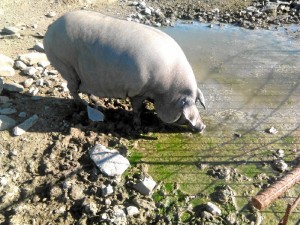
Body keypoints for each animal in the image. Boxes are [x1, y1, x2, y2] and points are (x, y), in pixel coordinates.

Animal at [42, 10, 206, 132]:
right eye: (186, 113)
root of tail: (51, 27)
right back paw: (82, 104)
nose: (203, 127)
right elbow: (136, 109)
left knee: (84, 88)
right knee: (71, 87)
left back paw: (95, 102)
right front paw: (138, 126)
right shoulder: (138, 91)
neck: (167, 90)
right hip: (64, 64)